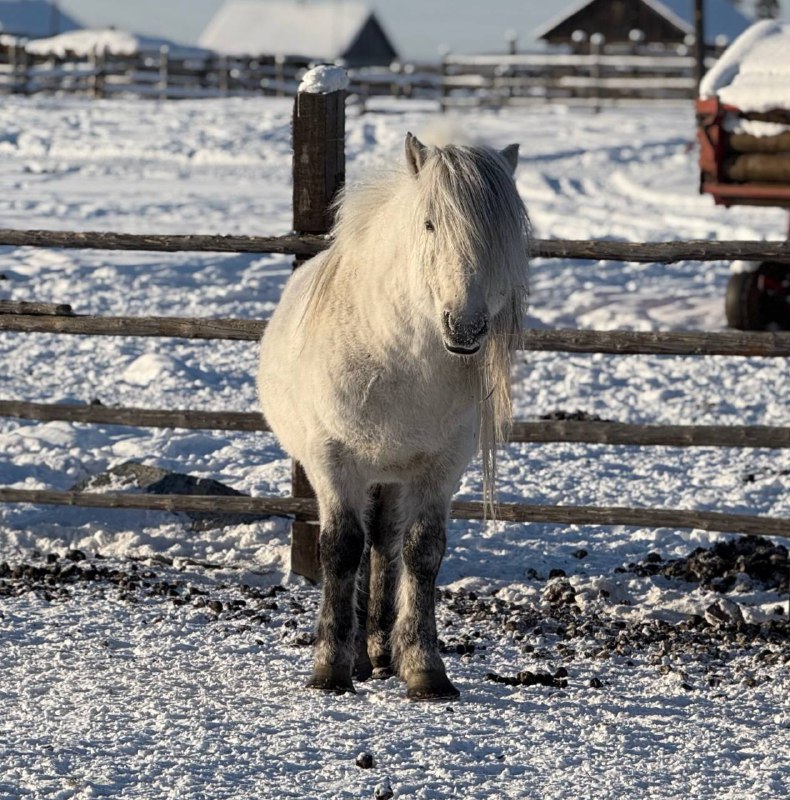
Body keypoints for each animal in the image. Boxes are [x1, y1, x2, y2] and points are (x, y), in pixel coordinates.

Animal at [260, 133, 532, 700]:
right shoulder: (333, 462)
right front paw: (330, 668)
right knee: (363, 547)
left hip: (389, 479)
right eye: (429, 224)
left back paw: (381, 654)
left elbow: (422, 552)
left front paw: (425, 669)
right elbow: (341, 550)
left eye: (500, 238)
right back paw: (360, 659)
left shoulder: (441, 467)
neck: (394, 357)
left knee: (384, 546)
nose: (466, 326)